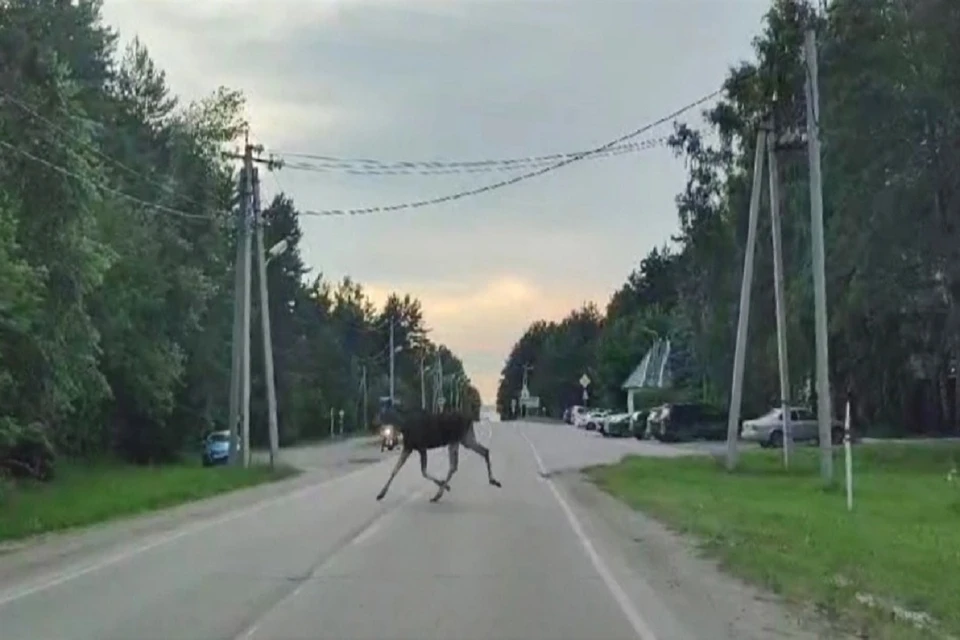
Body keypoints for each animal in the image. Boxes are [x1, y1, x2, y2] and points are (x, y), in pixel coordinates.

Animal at [374, 404, 502, 504]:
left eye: (381, 413)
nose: (375, 421)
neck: (403, 425)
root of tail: (470, 419)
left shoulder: (421, 447)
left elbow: (424, 472)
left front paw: (445, 485)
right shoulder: (408, 447)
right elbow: (395, 470)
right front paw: (380, 494)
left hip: (455, 439)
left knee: (454, 466)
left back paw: (438, 494)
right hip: (465, 438)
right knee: (483, 451)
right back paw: (493, 481)